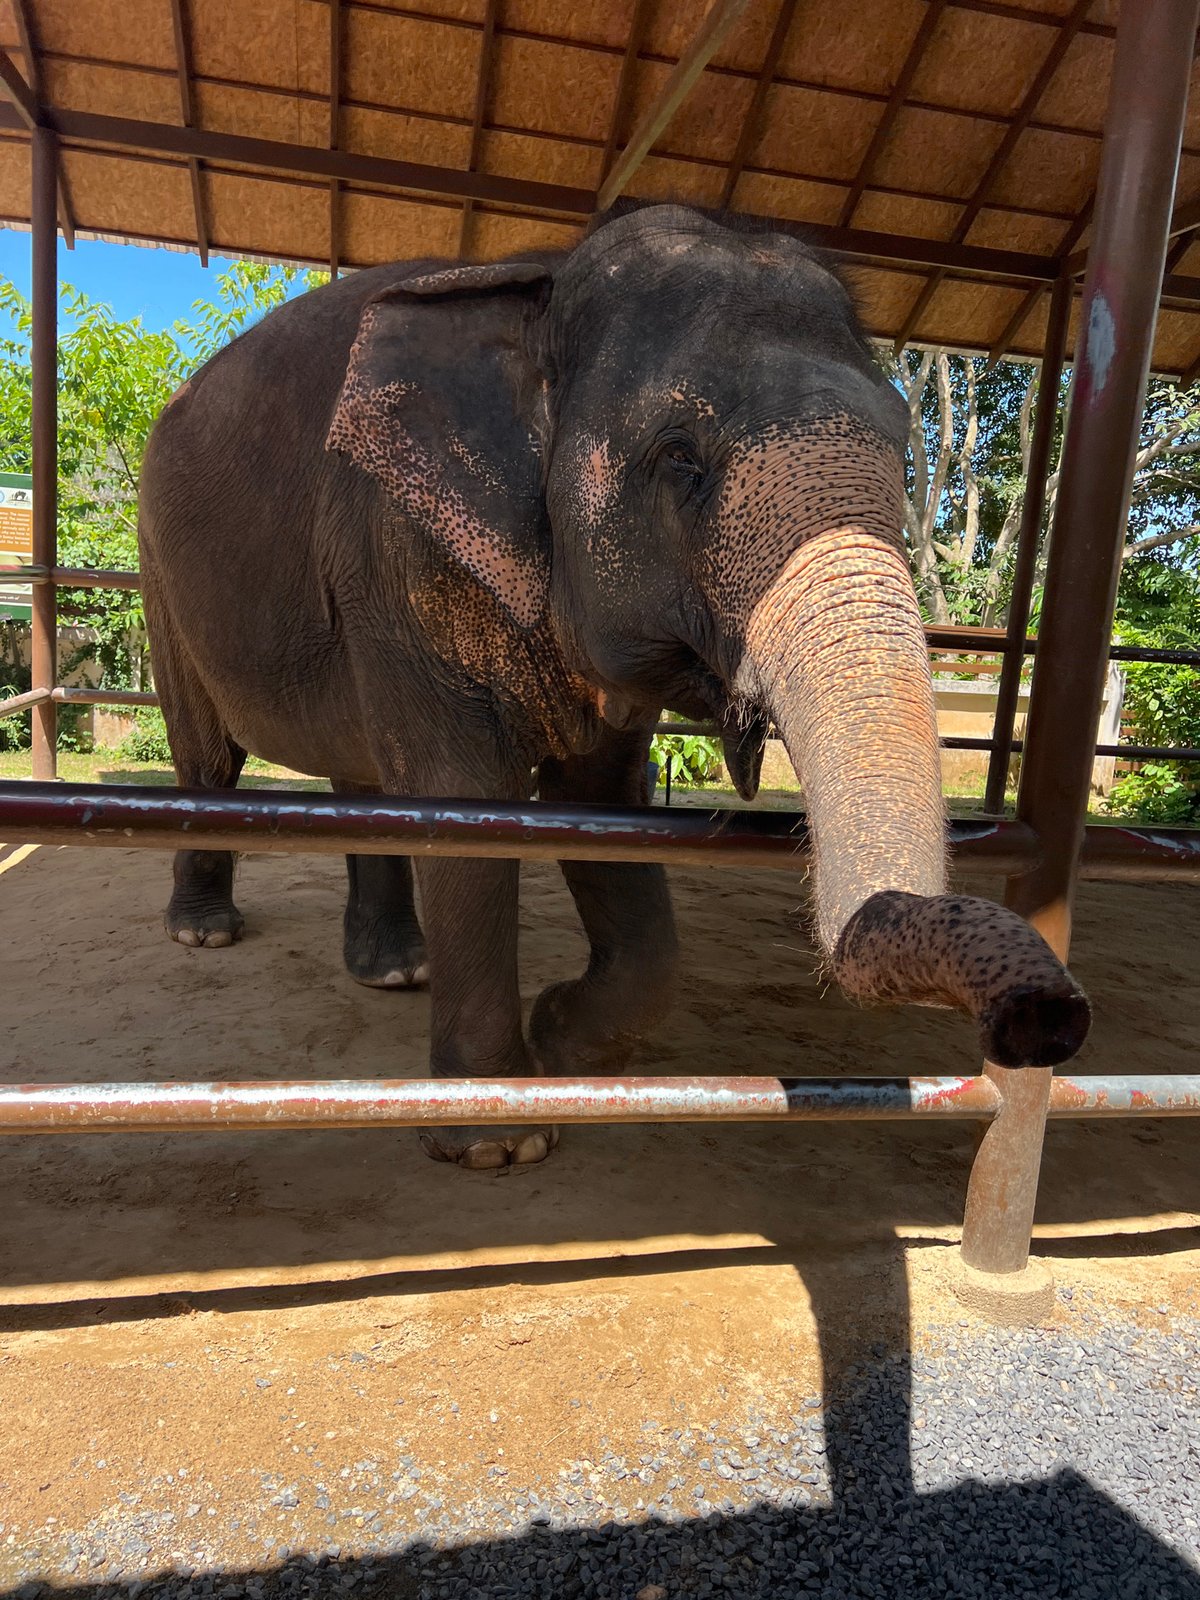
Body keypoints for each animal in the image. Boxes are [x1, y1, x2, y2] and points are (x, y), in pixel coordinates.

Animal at [138, 203, 1090, 1170]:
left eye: (905, 448)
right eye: (680, 458)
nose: (1046, 1015)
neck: (546, 278)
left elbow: (600, 806)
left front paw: (557, 1038)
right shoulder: (400, 549)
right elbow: (463, 800)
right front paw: (501, 1143)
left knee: (359, 780)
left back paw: (397, 970)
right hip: (160, 574)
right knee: (209, 760)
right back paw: (205, 931)